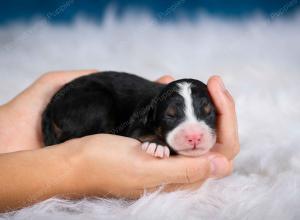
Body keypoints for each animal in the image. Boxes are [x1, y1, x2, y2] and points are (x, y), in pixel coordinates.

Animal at [42, 71, 216, 157]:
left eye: (209, 113)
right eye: (170, 116)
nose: (194, 136)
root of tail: (51, 104)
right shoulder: (135, 125)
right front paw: (157, 145)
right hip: (96, 103)